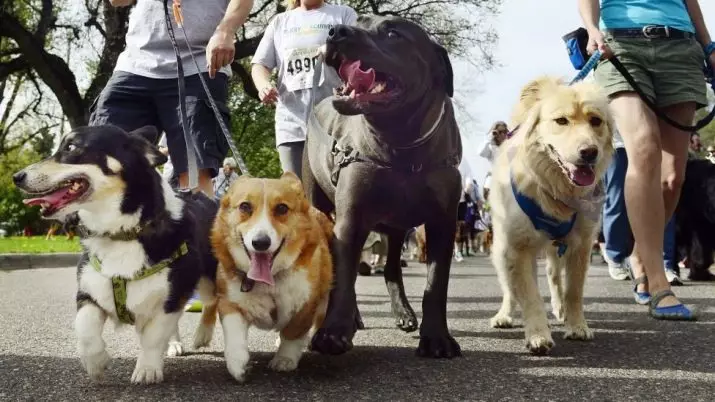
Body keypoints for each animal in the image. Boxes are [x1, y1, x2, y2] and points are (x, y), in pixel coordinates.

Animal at [302, 14, 464, 358]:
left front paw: (437, 337)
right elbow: (343, 276)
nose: (335, 31)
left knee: (391, 269)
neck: (400, 145)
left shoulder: (442, 223)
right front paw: (333, 332)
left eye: (393, 33)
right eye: (361, 22)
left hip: (396, 227)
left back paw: (403, 313)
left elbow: (435, 284)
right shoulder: (350, 220)